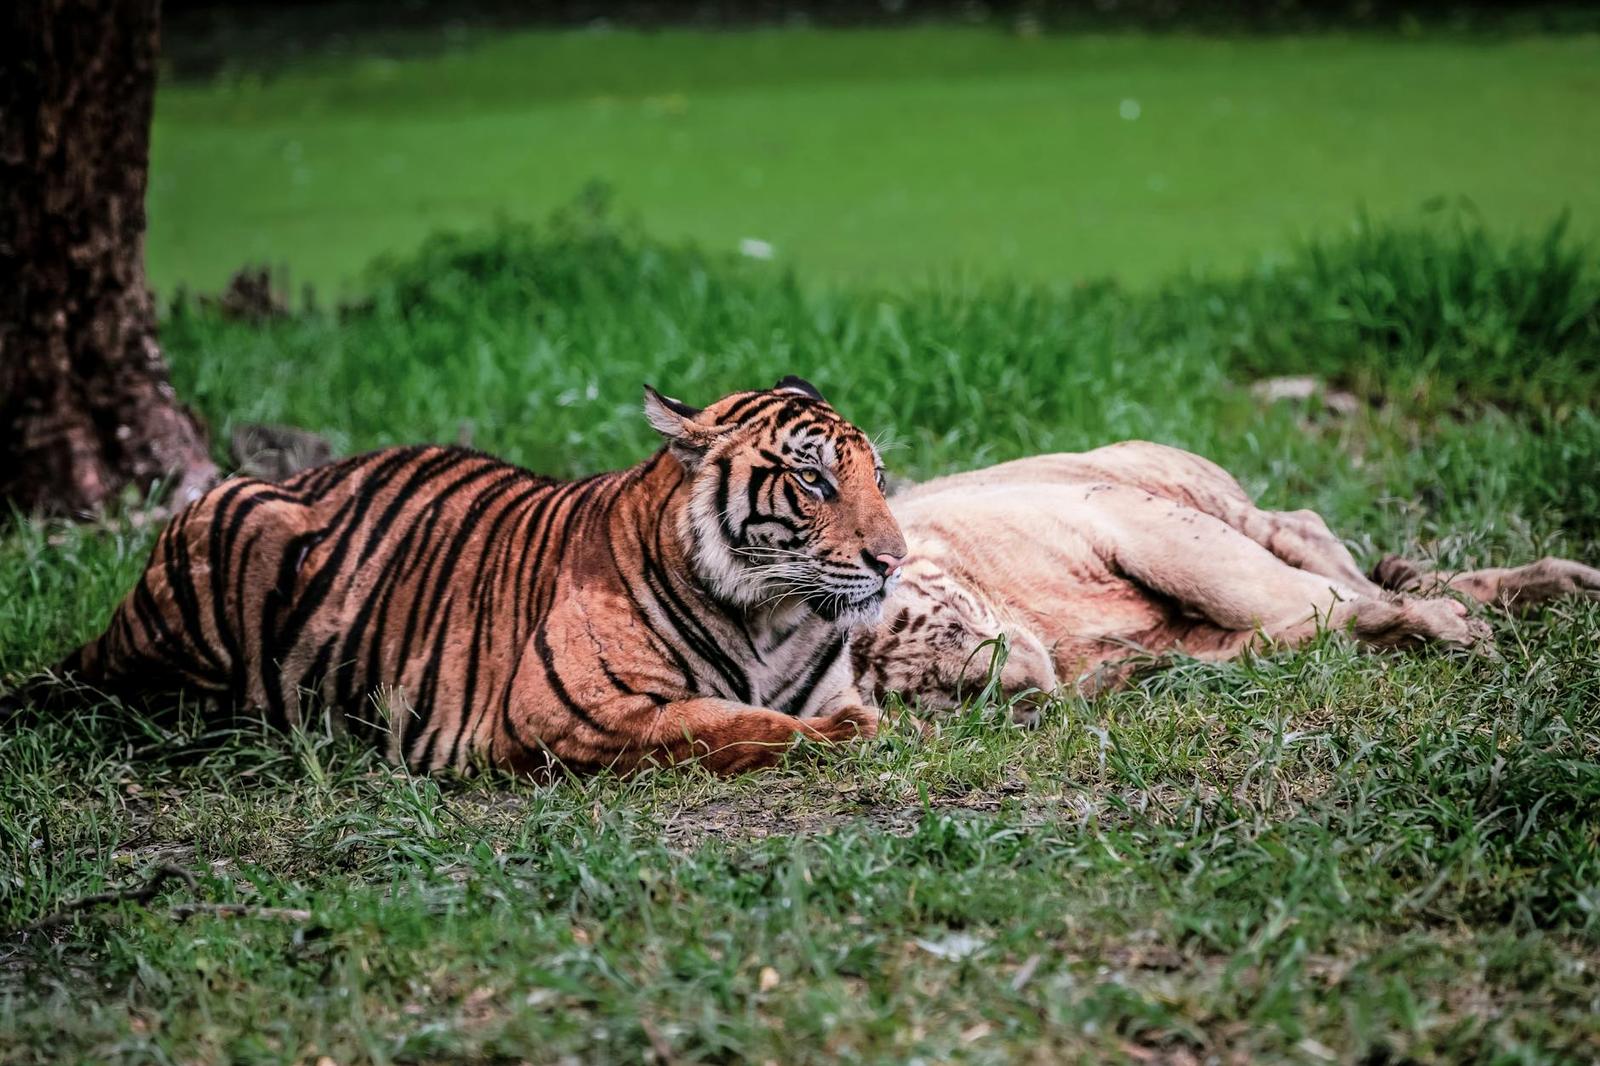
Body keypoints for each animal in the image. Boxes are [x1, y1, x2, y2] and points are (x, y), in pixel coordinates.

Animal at [13, 377, 908, 776]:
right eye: (814, 480)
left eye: (876, 477)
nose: (894, 560)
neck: (771, 616)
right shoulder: (572, 710)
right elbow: (732, 725)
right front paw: (858, 737)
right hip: (230, 534)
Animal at [853, 441, 1599, 720]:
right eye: (940, 694)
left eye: (956, 629)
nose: (1025, 694)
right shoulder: (1177, 645)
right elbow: (1308, 624)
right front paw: (1420, 624)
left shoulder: (1130, 521)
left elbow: (1278, 594)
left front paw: (1453, 628)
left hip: (1178, 488)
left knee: (1303, 531)